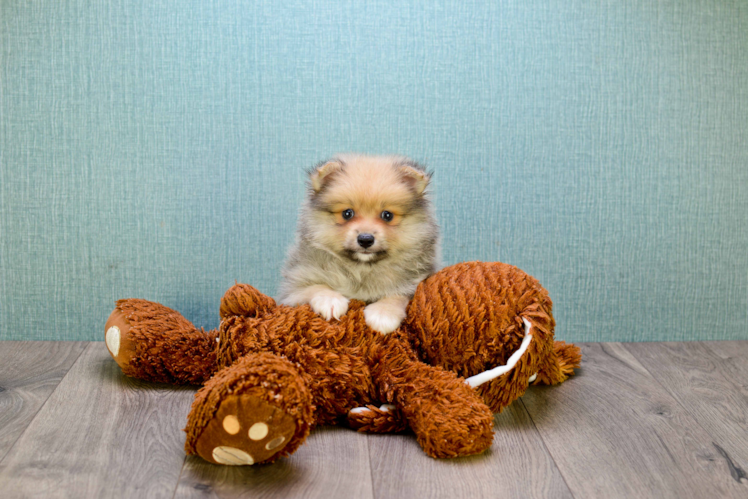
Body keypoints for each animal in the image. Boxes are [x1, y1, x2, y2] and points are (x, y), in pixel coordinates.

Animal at [282, 154, 444, 334]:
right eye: (347, 213)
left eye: (387, 215)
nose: (365, 239)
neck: (362, 268)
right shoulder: (292, 288)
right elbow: (315, 287)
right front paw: (330, 300)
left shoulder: (413, 284)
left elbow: (397, 295)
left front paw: (383, 313)